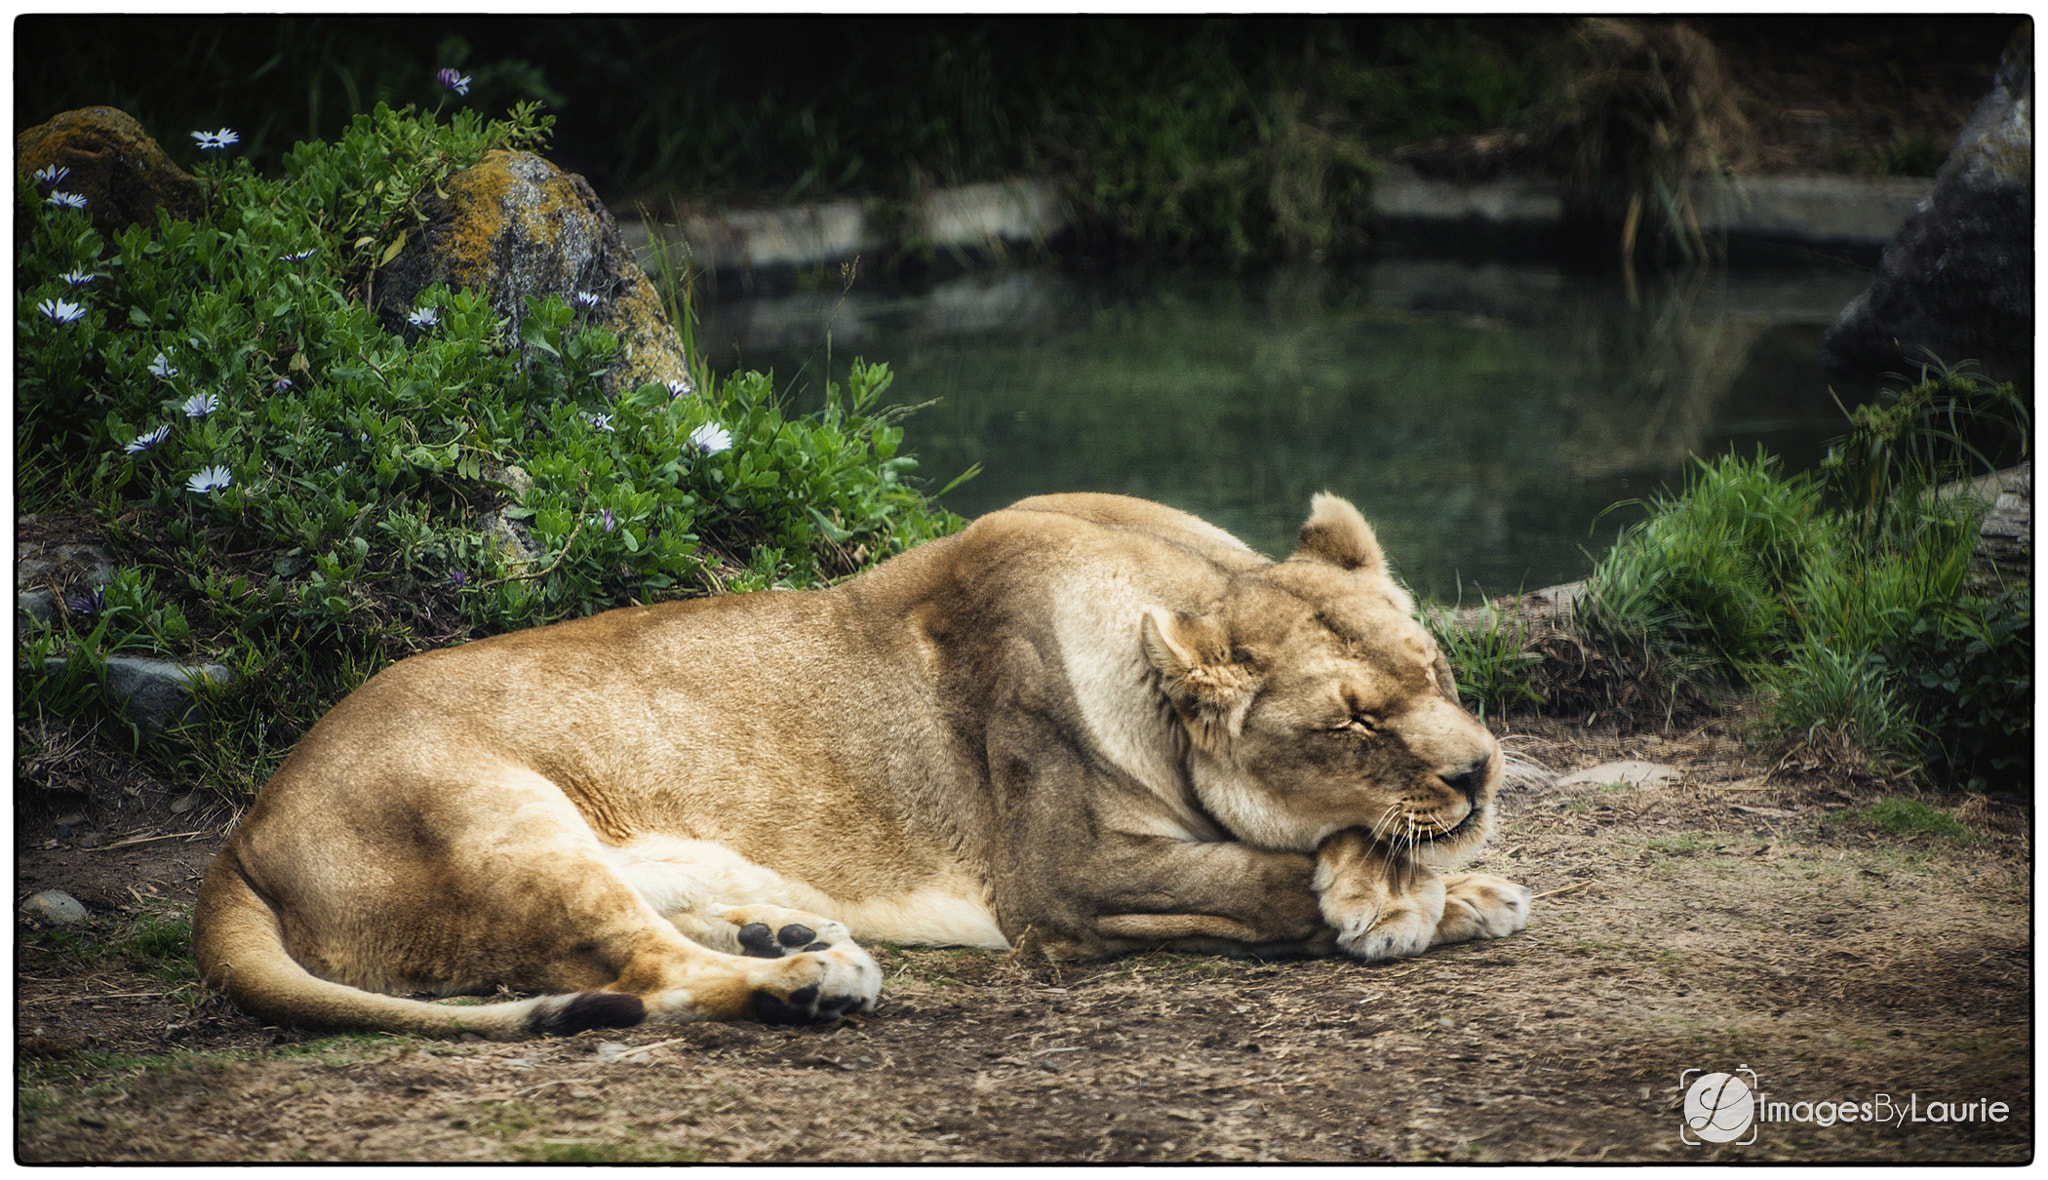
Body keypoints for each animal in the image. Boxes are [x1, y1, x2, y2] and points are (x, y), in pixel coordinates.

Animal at [193, 493, 1530, 1039]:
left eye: (1436, 668)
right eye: (1355, 721)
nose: (1479, 772)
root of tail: (243, 827)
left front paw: (1461, 885)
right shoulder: (1057, 877)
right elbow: (1266, 872)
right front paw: (1391, 898)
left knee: (651, 936)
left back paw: (785, 934)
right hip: (496, 819)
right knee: (640, 971)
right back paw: (806, 982)